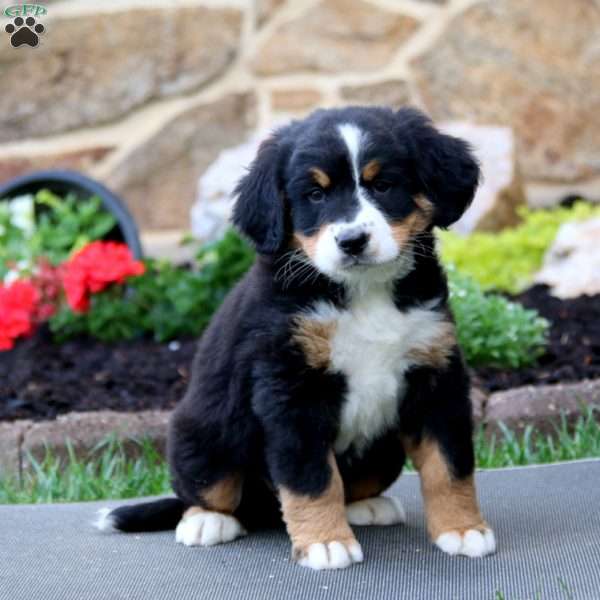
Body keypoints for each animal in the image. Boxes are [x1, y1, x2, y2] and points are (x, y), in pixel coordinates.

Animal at [96, 105, 494, 568]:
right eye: (315, 195)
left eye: (383, 185)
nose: (352, 240)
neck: (363, 293)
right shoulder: (290, 388)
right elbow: (312, 477)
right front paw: (326, 543)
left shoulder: (436, 377)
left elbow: (449, 467)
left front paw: (462, 530)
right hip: (204, 431)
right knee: (205, 489)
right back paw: (207, 521)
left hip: (384, 449)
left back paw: (367, 506)